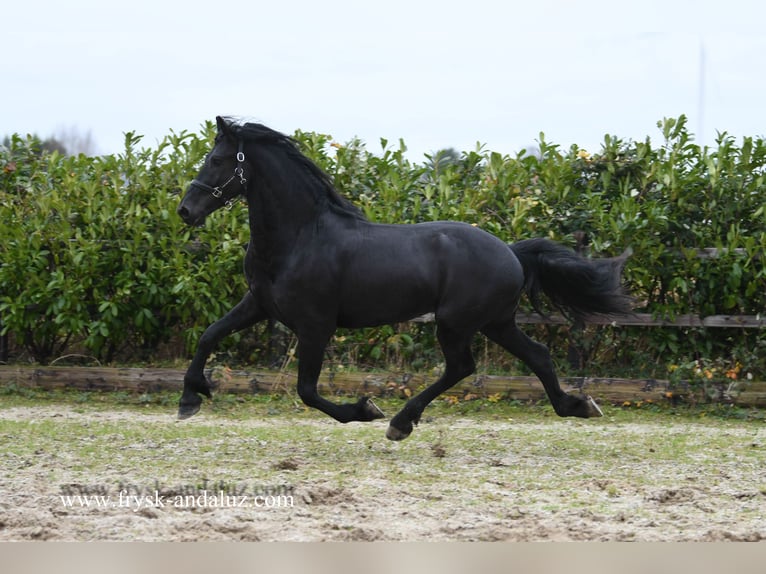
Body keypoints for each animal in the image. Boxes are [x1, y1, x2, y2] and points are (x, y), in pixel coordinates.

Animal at [177, 116, 632, 440]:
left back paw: (400, 422)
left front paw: (364, 410)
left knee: (462, 367)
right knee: (536, 355)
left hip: (457, 322)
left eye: (216, 160)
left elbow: (307, 390)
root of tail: (512, 253)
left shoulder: (315, 325)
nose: (185, 210)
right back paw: (577, 405)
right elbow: (209, 335)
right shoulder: (258, 304)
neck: (301, 236)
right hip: (495, 322)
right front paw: (189, 398)